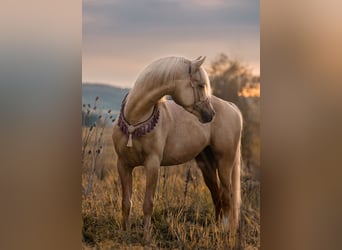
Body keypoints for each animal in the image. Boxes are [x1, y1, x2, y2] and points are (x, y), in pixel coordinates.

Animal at [113, 55, 243, 244]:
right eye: (200, 85)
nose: (210, 115)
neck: (134, 121)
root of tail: (231, 106)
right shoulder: (123, 165)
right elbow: (126, 203)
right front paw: (126, 235)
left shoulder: (152, 164)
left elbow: (148, 203)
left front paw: (146, 238)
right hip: (207, 165)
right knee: (217, 196)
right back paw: (216, 230)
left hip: (225, 162)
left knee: (226, 197)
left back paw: (225, 233)